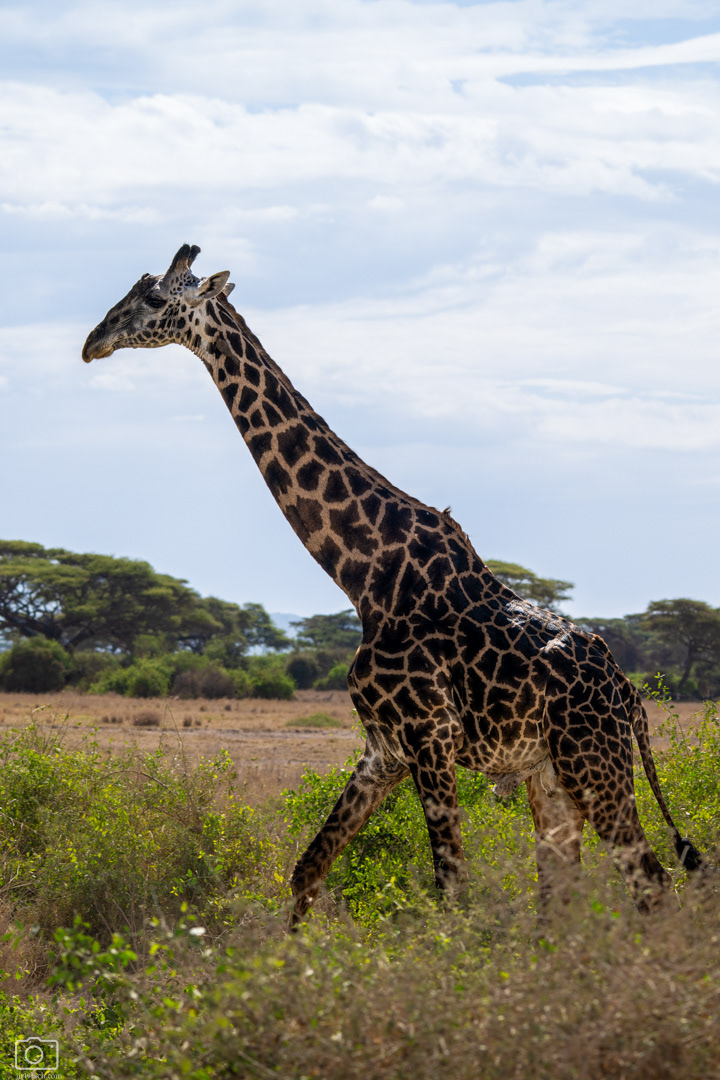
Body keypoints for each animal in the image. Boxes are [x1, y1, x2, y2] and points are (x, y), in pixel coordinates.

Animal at [83, 244, 701, 924]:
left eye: (153, 299)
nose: (92, 342)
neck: (364, 577)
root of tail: (631, 697)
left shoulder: (430, 736)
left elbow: (452, 888)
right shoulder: (384, 749)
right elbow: (308, 868)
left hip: (593, 763)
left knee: (649, 882)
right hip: (551, 775)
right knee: (563, 897)